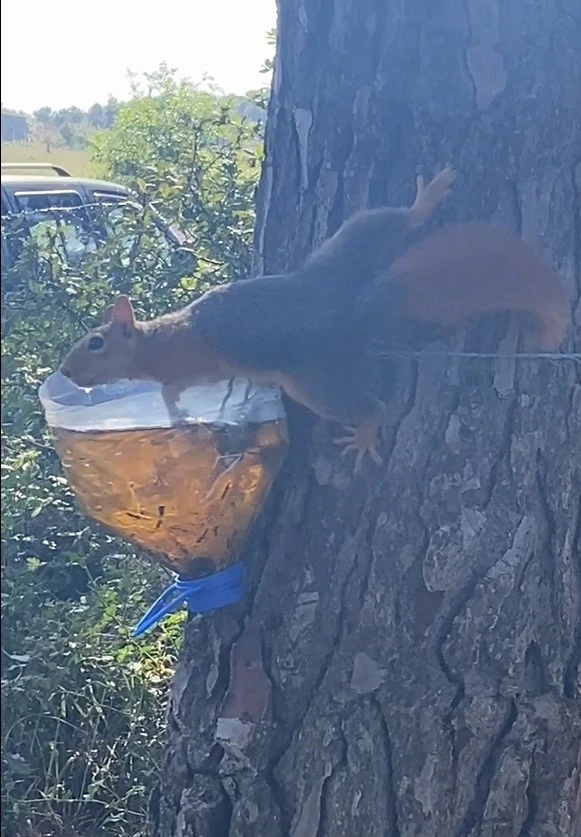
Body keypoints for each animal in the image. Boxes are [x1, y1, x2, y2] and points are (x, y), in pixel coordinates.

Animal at [61, 167, 568, 470]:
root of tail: (352, 310)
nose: (66, 371)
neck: (153, 342)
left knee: (371, 405)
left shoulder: (185, 364)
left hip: (314, 384)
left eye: (96, 343)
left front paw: (174, 414)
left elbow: (172, 391)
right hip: (343, 256)